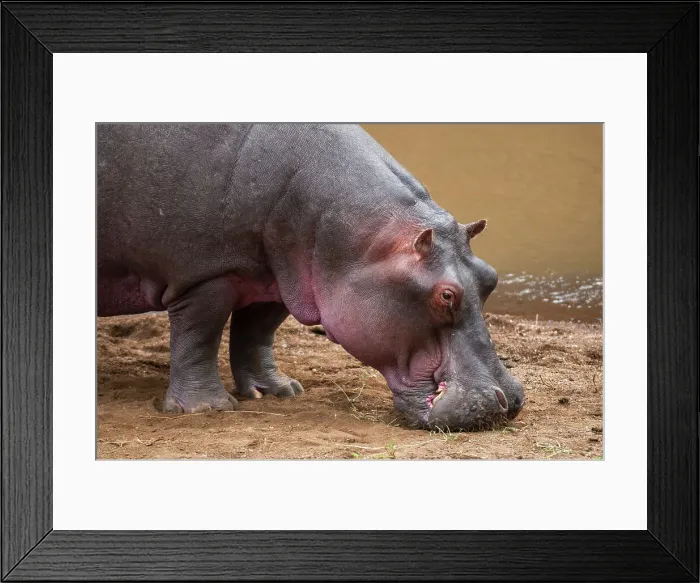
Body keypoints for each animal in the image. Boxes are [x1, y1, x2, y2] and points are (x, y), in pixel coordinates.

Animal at [97, 123, 525, 430]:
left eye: (490, 277)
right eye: (446, 296)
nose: (507, 400)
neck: (367, 242)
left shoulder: (278, 277)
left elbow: (256, 333)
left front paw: (278, 392)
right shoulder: (204, 275)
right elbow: (199, 338)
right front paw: (206, 408)